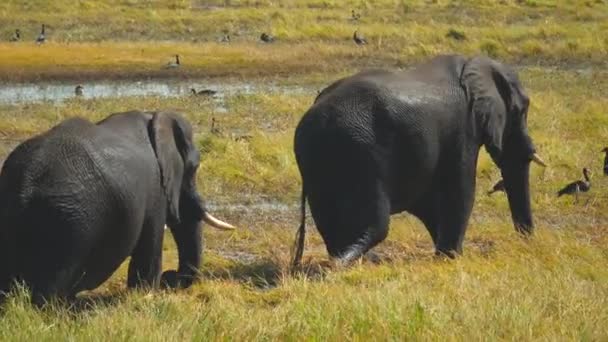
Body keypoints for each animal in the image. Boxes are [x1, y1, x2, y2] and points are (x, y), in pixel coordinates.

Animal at [0, 109, 235, 304]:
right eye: (194, 167)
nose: (170, 278)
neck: (154, 116)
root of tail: (25, 183)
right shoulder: (155, 189)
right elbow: (150, 245)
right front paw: (146, 294)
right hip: (69, 220)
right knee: (52, 283)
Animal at [294, 54, 548, 268]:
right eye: (521, 110)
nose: (526, 244)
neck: (475, 64)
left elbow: (428, 203)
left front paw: (446, 255)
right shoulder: (463, 129)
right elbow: (461, 190)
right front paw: (450, 258)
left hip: (317, 158)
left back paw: (346, 260)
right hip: (362, 151)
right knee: (377, 225)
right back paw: (348, 262)